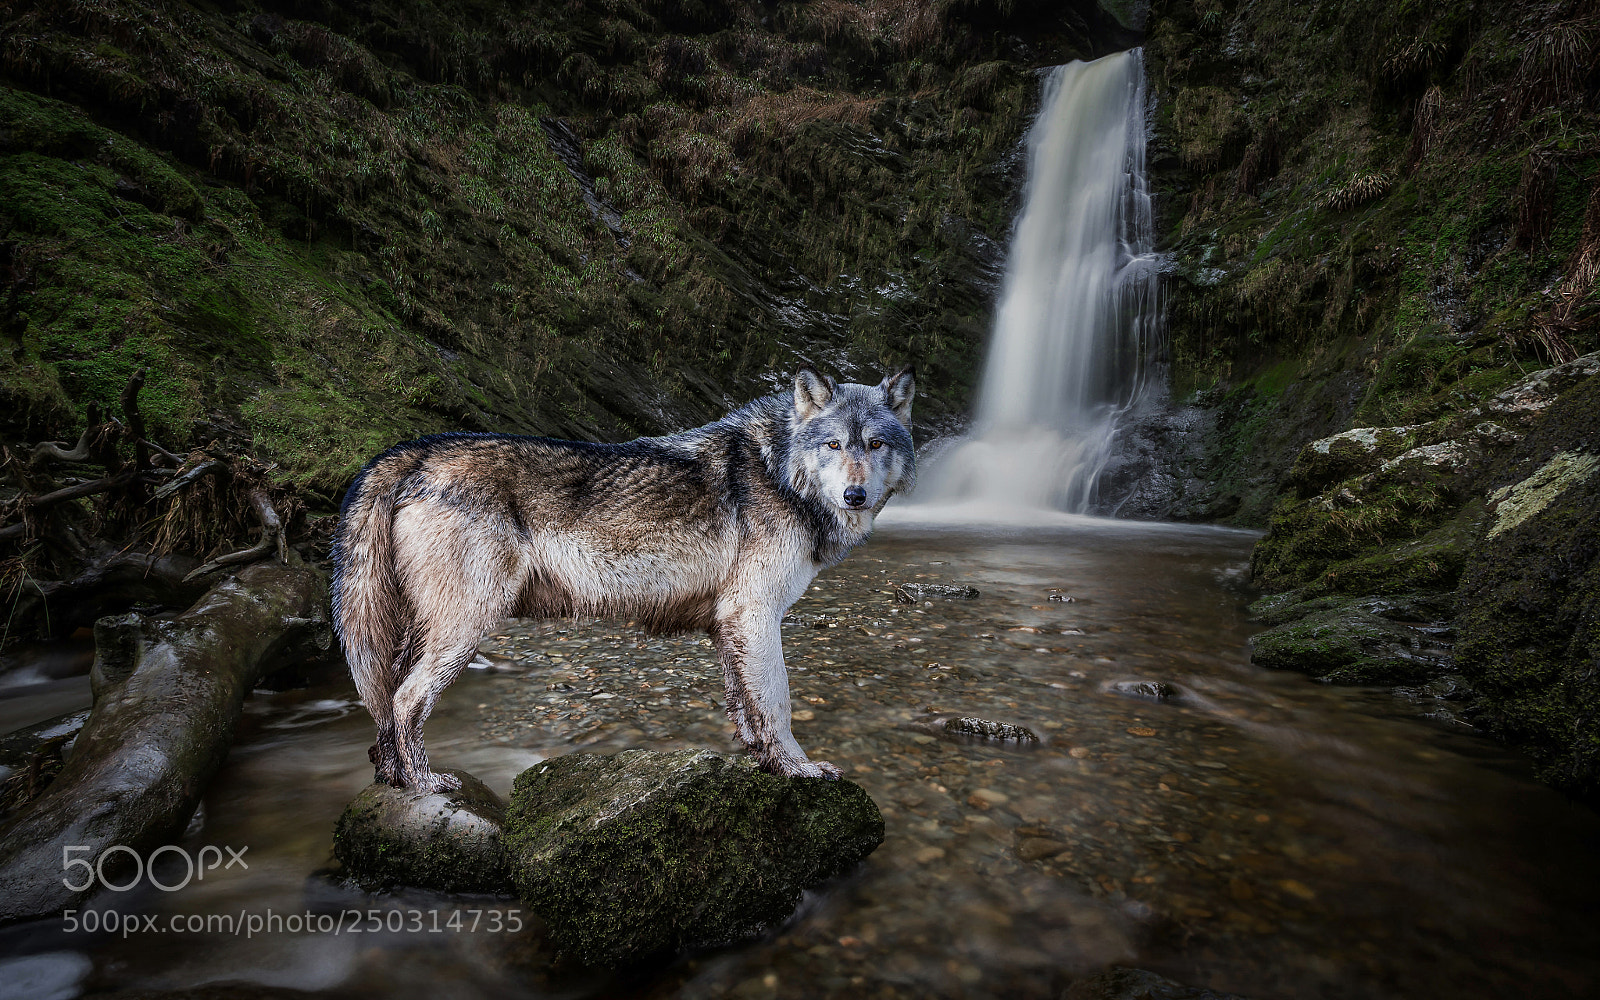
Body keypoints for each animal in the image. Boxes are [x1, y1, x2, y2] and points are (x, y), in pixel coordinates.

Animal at [331, 366, 916, 792]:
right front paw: (799, 769)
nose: (855, 496)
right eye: (835, 445)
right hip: (465, 629)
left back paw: (390, 777)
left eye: (875, 445)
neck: (780, 472)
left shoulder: (729, 625)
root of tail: (418, 449)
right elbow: (778, 703)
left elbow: (745, 706)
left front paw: (760, 759)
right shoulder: (754, 615)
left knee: (385, 701)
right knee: (405, 699)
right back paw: (423, 782)